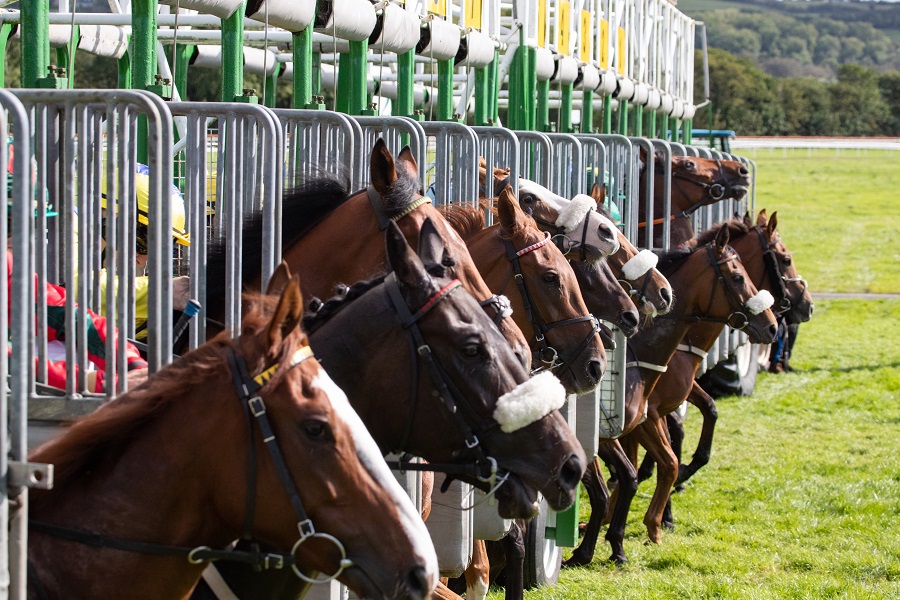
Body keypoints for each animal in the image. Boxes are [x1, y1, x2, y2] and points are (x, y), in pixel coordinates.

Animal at [568, 225, 776, 568]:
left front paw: (639, 529)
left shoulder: (645, 418)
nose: (772, 326)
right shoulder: (626, 425)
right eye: (737, 277)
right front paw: (629, 531)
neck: (640, 353)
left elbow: (660, 462)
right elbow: (648, 468)